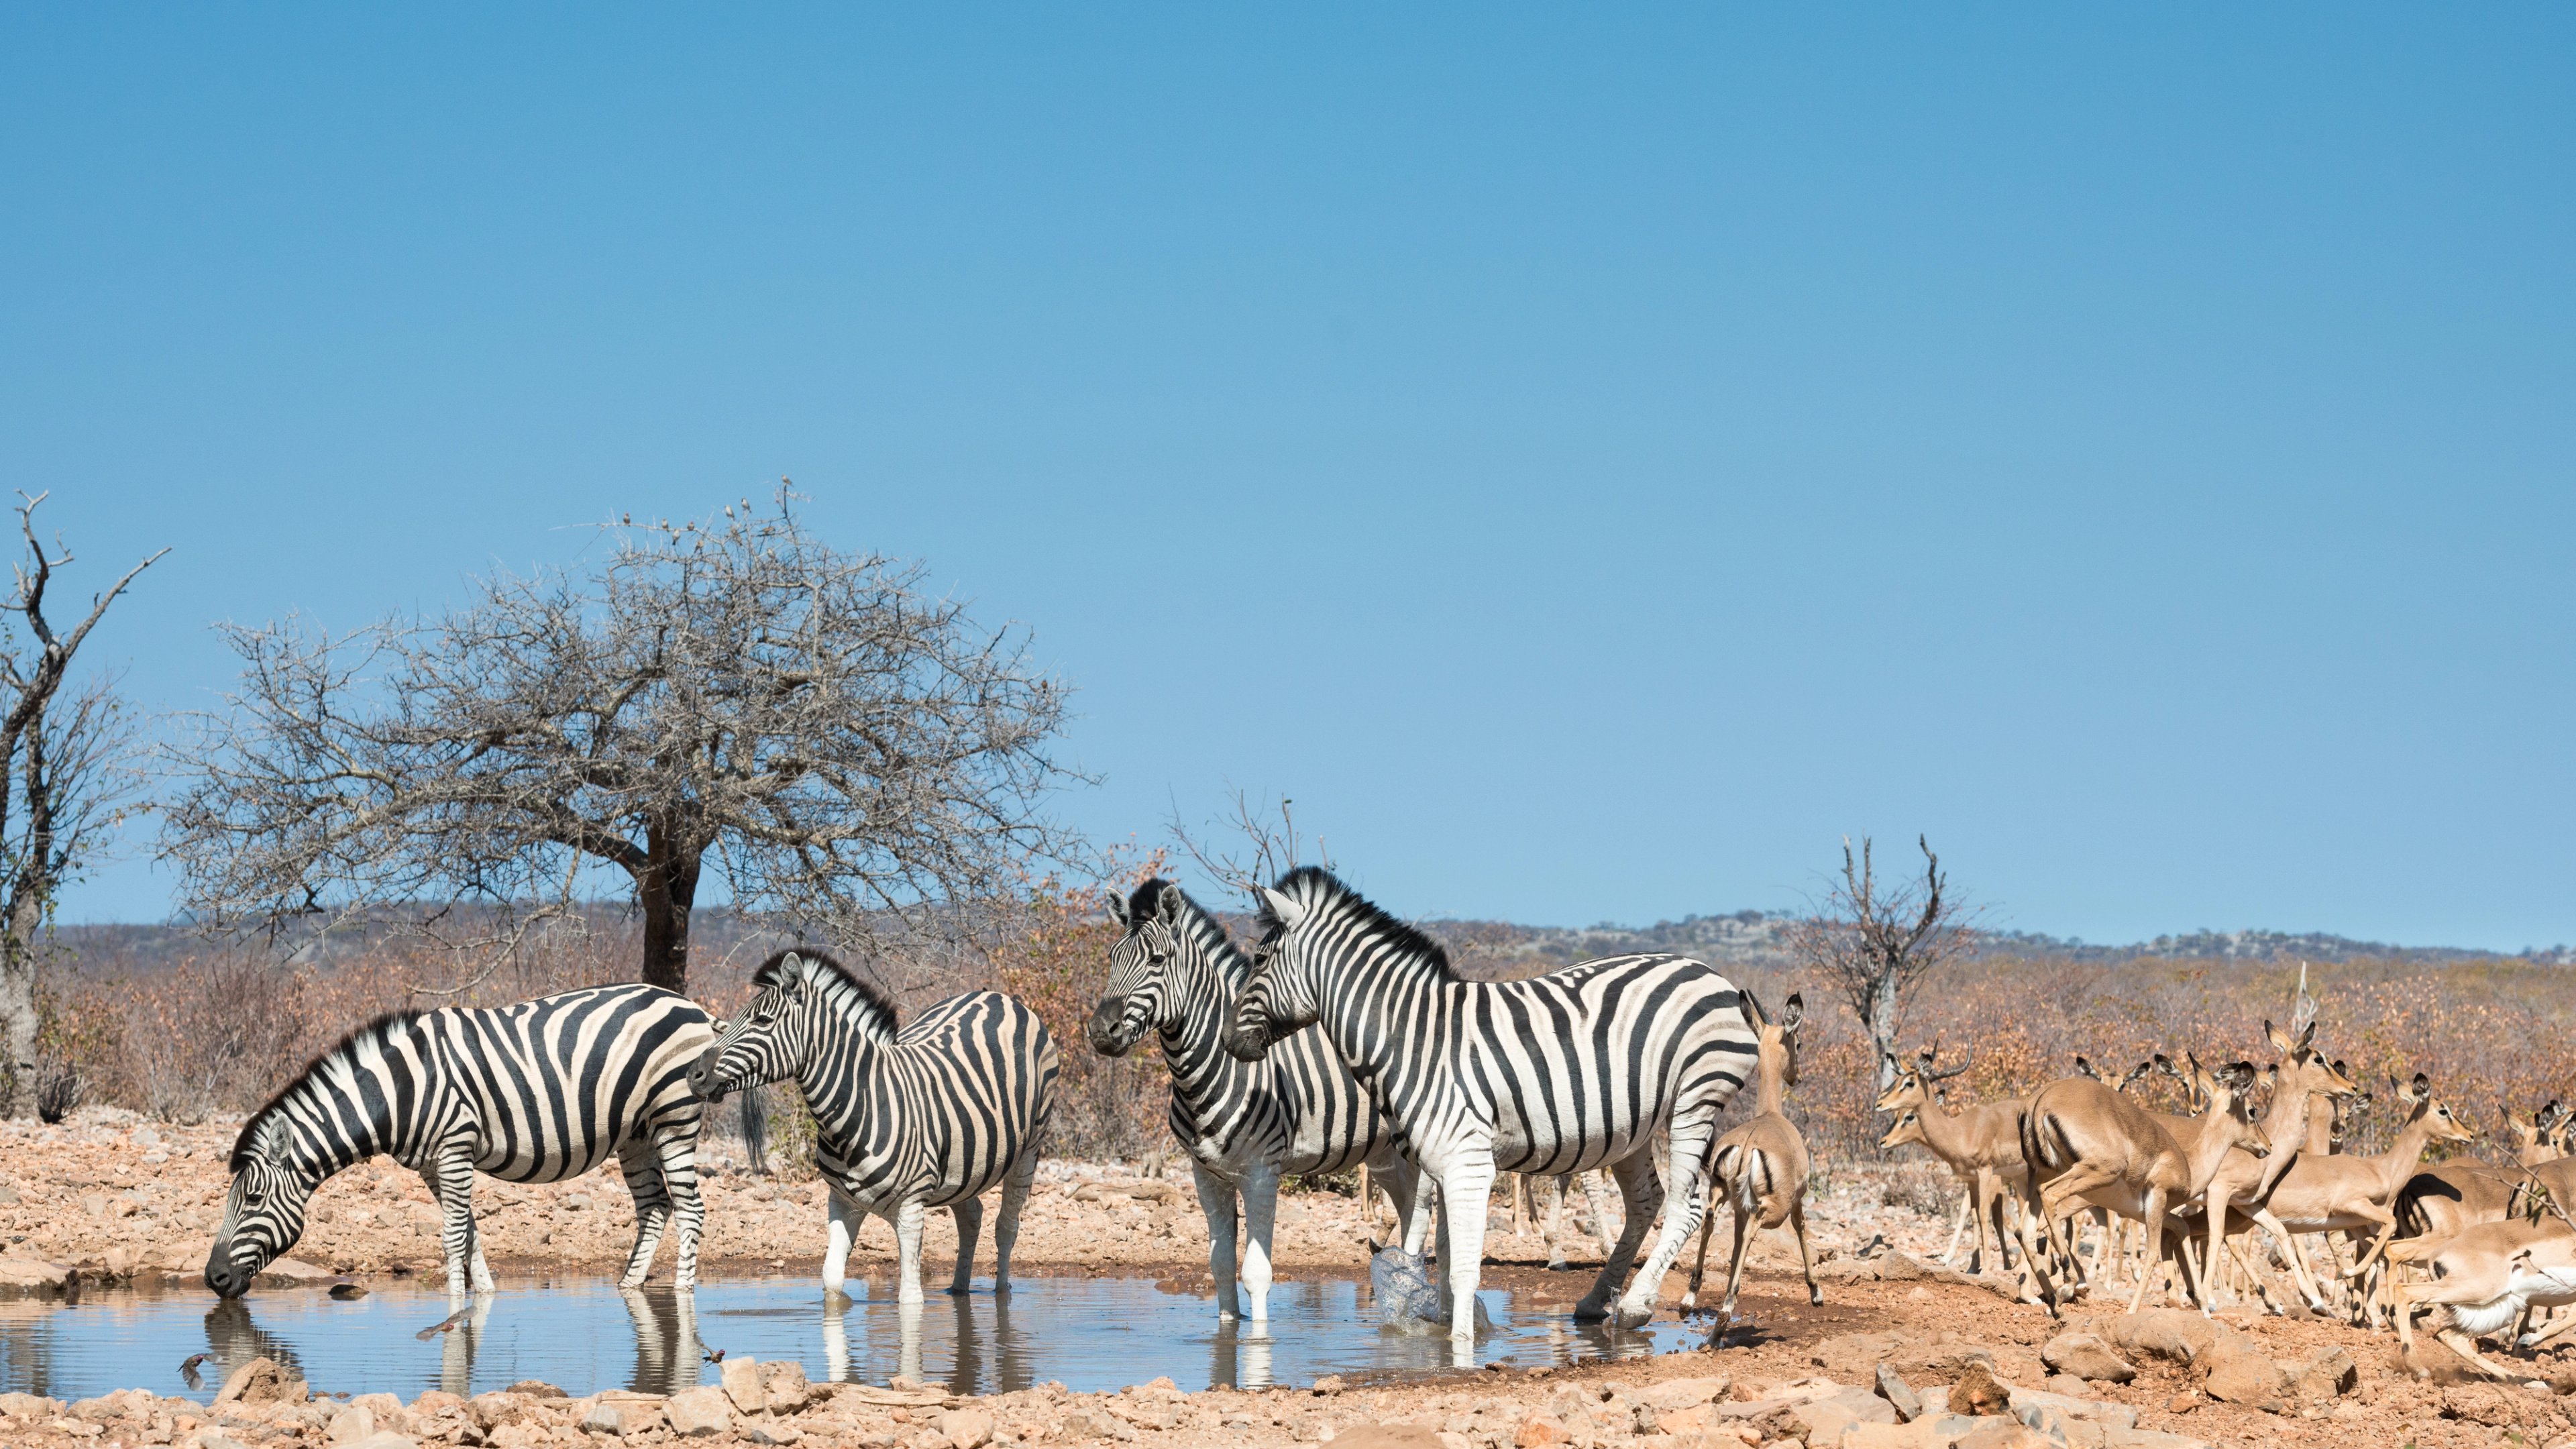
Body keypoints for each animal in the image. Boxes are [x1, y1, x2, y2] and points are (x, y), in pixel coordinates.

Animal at [205, 983, 715, 1302]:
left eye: (252, 1199)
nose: (213, 1279)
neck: (400, 1091)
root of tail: (693, 1007)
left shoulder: (455, 1148)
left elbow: (451, 1236)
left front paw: (454, 1303)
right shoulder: (432, 1164)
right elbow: (467, 1231)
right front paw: (483, 1297)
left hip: (674, 1118)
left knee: (690, 1208)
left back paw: (682, 1293)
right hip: (637, 1134)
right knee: (655, 1206)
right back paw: (629, 1287)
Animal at [687, 949, 1057, 1307]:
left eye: (762, 1021)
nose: (694, 1075)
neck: (854, 1114)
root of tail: (998, 997)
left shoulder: (911, 1208)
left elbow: (910, 1297)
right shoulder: (842, 1202)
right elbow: (832, 1281)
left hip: (1029, 1148)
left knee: (1006, 1226)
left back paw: (1001, 1292)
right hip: (963, 1163)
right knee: (971, 1217)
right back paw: (958, 1290)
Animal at [1091, 877, 1425, 1322]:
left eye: (1158, 960)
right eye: (1112, 958)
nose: (1101, 1031)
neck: (1207, 1074)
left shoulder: (1262, 1173)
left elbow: (1256, 1274)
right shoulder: (1206, 1175)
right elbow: (1220, 1266)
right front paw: (1228, 1329)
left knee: (1424, 1217)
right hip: (1386, 1154)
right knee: (1407, 1210)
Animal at [1222, 866, 1760, 1344]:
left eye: (1261, 962)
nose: (1228, 1041)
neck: (1412, 1040)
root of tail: (1707, 972)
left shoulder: (1468, 1162)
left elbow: (1462, 1269)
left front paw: (1461, 1348)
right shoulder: (1440, 1163)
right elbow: (1443, 1261)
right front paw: (1443, 1333)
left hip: (1695, 1097)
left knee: (1686, 1206)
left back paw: (1632, 1306)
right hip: (1636, 1126)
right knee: (1646, 1201)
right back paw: (1597, 1301)